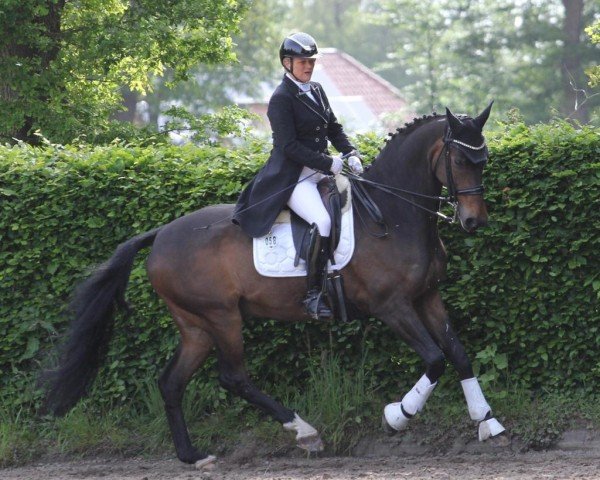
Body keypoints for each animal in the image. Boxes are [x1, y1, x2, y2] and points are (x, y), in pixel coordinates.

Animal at [44, 103, 506, 466]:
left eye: (484, 160)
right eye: (460, 161)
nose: (474, 221)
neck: (390, 214)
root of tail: (160, 235)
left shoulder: (427, 296)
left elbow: (459, 355)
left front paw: (488, 422)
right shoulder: (391, 306)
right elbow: (435, 360)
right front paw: (397, 415)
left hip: (195, 325)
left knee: (171, 382)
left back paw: (193, 456)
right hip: (221, 317)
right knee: (233, 378)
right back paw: (304, 431)